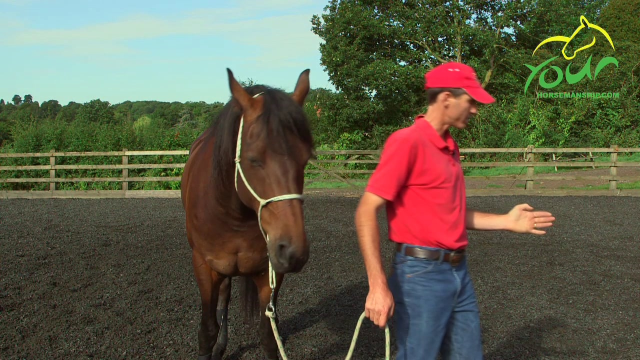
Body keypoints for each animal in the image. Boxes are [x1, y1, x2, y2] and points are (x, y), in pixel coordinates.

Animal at [181, 68, 314, 360]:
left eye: (305, 160)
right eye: (254, 160)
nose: (293, 252)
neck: (234, 217)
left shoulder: (269, 272)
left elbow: (268, 337)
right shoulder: (204, 267)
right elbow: (206, 331)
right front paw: (214, 344)